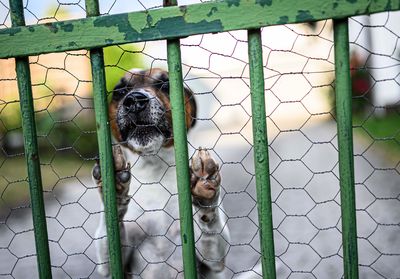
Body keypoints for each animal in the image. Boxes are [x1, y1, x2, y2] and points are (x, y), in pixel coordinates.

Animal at [91, 68, 228, 279]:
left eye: (165, 84)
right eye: (120, 91)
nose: (134, 100)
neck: (154, 170)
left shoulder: (215, 259)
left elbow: (211, 229)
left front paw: (205, 191)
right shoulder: (111, 262)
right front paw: (114, 189)